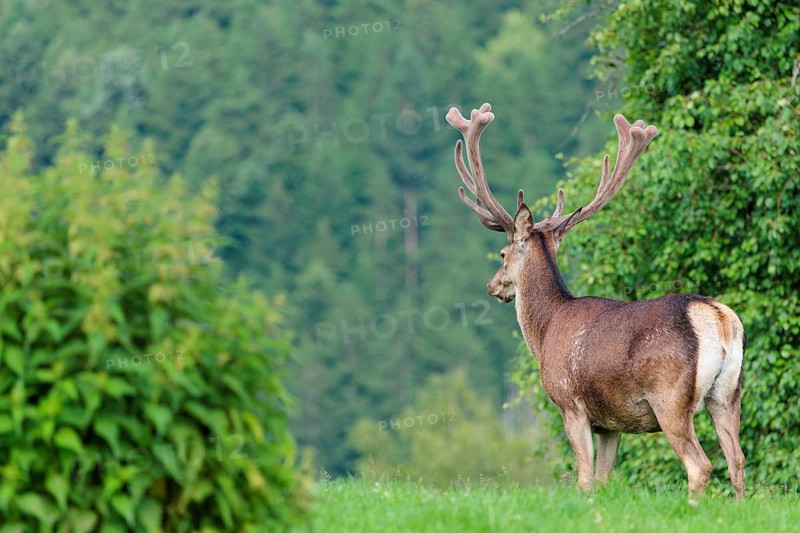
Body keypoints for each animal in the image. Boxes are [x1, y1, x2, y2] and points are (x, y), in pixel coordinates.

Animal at [446, 103, 745, 502]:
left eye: (502, 253)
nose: (492, 286)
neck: (545, 332)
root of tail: (718, 319)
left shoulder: (569, 401)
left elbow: (585, 478)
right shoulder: (611, 423)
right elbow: (603, 480)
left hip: (670, 396)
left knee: (701, 464)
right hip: (727, 394)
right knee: (737, 460)